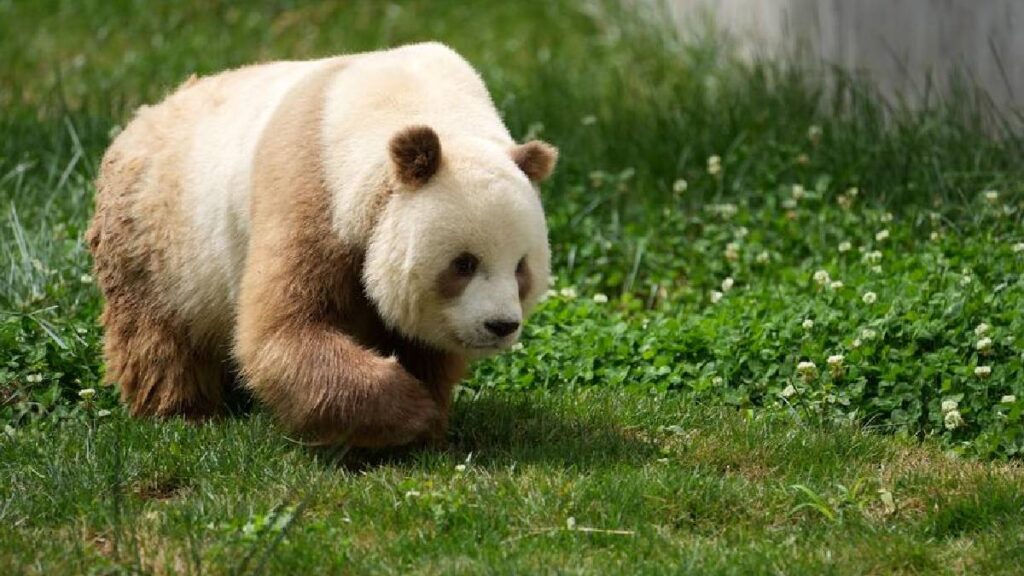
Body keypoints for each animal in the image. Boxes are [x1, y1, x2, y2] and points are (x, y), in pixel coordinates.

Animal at [86, 42, 557, 447]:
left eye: (521, 267)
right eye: (463, 263)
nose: (501, 325)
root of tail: (142, 116)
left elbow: (422, 345)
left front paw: (427, 420)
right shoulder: (311, 182)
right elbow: (283, 329)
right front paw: (408, 411)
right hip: (156, 238)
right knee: (157, 337)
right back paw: (182, 412)